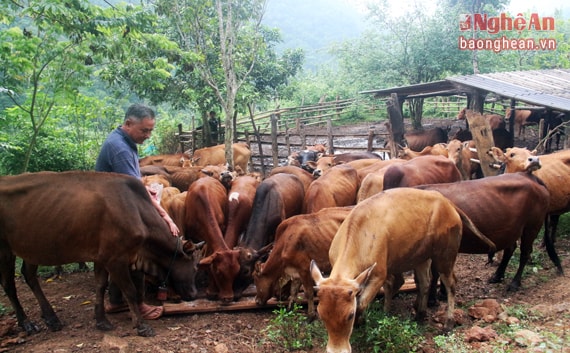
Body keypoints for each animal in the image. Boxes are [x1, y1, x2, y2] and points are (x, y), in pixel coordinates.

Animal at [0, 170, 202, 336]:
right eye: (194, 268)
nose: (194, 294)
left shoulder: (101, 257)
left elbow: (100, 285)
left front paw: (101, 320)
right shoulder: (116, 259)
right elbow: (130, 290)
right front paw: (141, 326)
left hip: (32, 248)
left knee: (29, 275)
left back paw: (51, 318)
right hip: (5, 250)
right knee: (8, 284)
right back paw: (26, 323)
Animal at [310, 187, 492, 352]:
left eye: (350, 315)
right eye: (321, 315)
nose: (336, 350)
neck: (359, 234)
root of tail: (447, 203)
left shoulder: (378, 275)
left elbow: (362, 302)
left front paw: (364, 321)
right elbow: (391, 286)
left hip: (445, 256)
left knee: (450, 284)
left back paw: (448, 323)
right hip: (421, 257)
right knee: (424, 283)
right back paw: (420, 315)